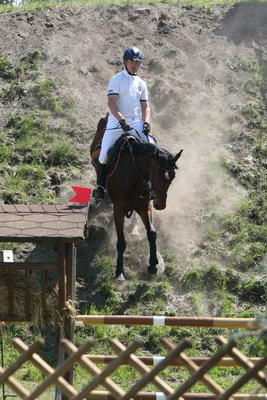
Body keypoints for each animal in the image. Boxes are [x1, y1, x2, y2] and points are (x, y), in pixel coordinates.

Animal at [91, 114, 183, 280]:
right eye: (159, 175)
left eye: (172, 177)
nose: (160, 205)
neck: (134, 174)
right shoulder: (119, 208)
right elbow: (121, 242)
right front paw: (119, 271)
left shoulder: (143, 206)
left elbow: (152, 233)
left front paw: (153, 265)